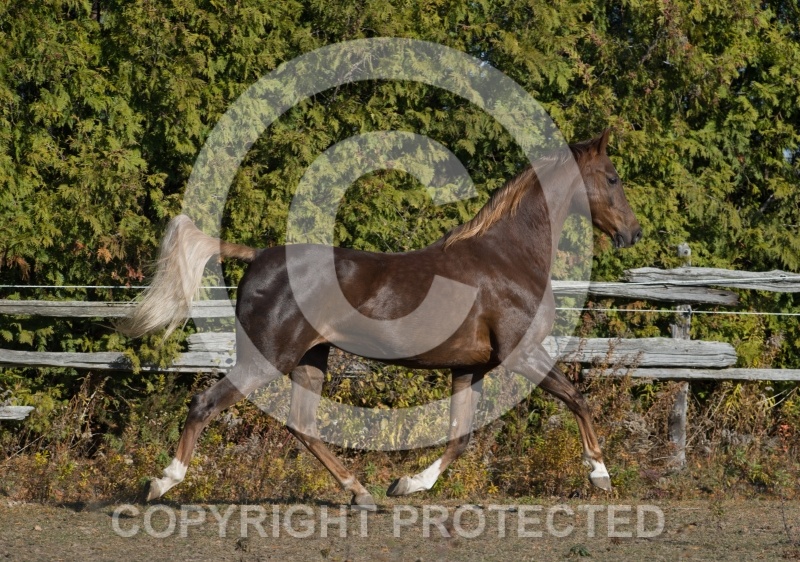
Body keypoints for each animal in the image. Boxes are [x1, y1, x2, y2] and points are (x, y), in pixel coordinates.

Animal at [118, 129, 641, 509]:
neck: (509, 257)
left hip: (311, 359)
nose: (633, 233)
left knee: (303, 426)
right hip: (267, 358)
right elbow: (576, 398)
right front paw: (600, 474)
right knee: (205, 404)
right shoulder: (522, 352)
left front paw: (407, 485)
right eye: (613, 178)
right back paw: (161, 483)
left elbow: (460, 437)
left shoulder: (467, 367)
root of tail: (260, 255)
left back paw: (362, 493)